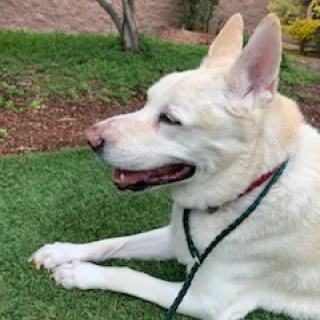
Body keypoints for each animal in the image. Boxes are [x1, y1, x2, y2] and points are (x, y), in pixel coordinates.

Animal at [31, 13, 320, 320]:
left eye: (170, 119)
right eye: (147, 100)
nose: (90, 139)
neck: (252, 187)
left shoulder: (207, 300)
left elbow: (131, 274)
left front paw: (79, 273)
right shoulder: (176, 235)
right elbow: (117, 241)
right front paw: (62, 252)